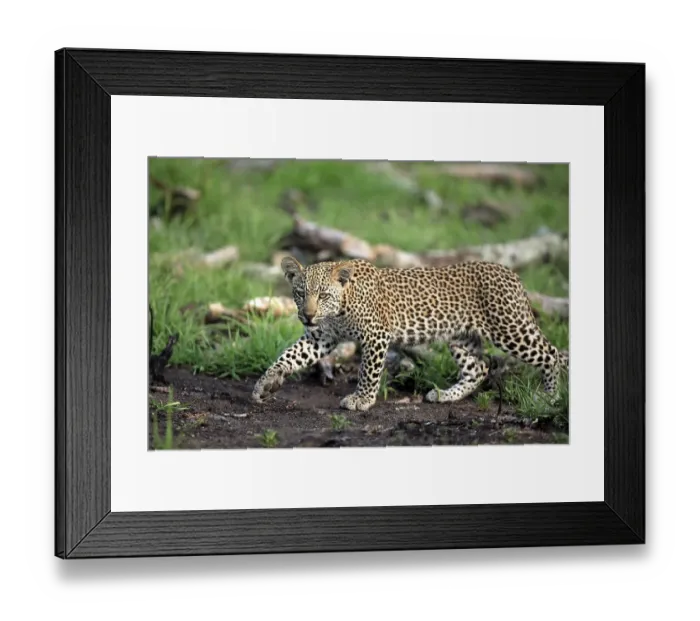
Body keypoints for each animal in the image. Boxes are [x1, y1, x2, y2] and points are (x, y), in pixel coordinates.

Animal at [251, 255, 568, 412]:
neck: (340, 307)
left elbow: (368, 371)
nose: (307, 315)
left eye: (324, 295)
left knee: (552, 354)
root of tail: (512, 274)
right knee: (478, 368)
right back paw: (446, 395)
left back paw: (550, 397)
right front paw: (266, 384)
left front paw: (362, 400)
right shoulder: (321, 338)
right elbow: (288, 356)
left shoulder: (376, 335)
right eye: (300, 293)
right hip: (461, 337)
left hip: (510, 329)